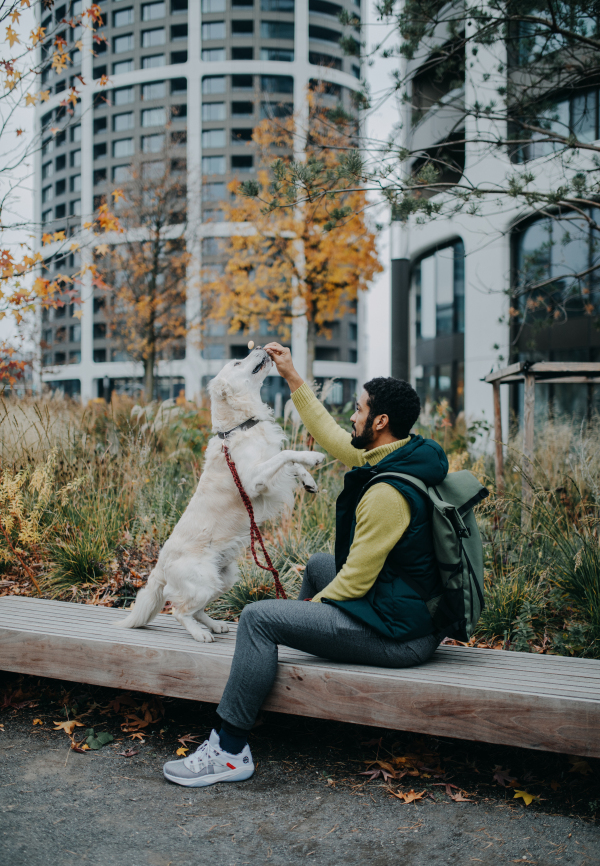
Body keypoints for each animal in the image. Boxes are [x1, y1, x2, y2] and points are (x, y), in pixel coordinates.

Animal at [116, 346, 324, 640]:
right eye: (237, 362)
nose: (259, 347)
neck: (239, 426)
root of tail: (160, 565)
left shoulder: (267, 466)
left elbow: (288, 461)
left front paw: (309, 480)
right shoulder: (253, 481)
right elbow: (287, 453)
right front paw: (313, 457)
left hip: (223, 578)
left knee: (197, 609)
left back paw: (215, 625)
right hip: (203, 581)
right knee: (179, 610)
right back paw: (201, 634)